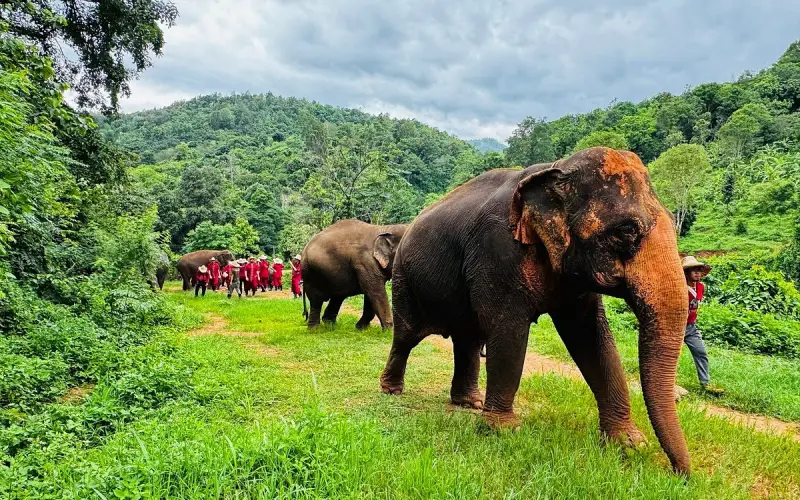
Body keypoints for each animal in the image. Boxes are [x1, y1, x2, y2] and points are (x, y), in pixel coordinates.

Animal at [379, 147, 691, 475]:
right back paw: (392, 390)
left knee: (469, 339)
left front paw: (630, 444)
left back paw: (469, 403)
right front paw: (504, 431)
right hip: (404, 280)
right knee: (407, 336)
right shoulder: (497, 251)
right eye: (626, 231)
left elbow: (591, 337)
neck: (557, 168)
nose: (678, 474)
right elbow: (509, 329)